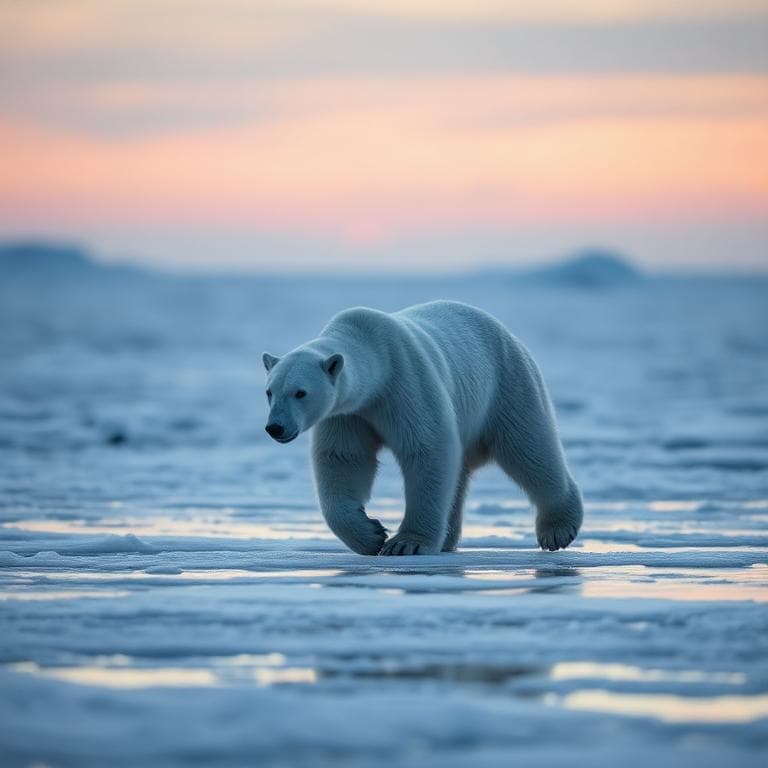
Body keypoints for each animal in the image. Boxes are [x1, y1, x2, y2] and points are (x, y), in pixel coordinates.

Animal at [262, 300, 583, 556]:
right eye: (269, 391)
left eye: (300, 392)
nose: (275, 428)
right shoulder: (348, 414)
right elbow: (343, 459)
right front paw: (370, 535)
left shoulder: (403, 383)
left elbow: (427, 449)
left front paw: (405, 543)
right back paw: (447, 538)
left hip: (507, 385)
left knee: (528, 449)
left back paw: (558, 530)